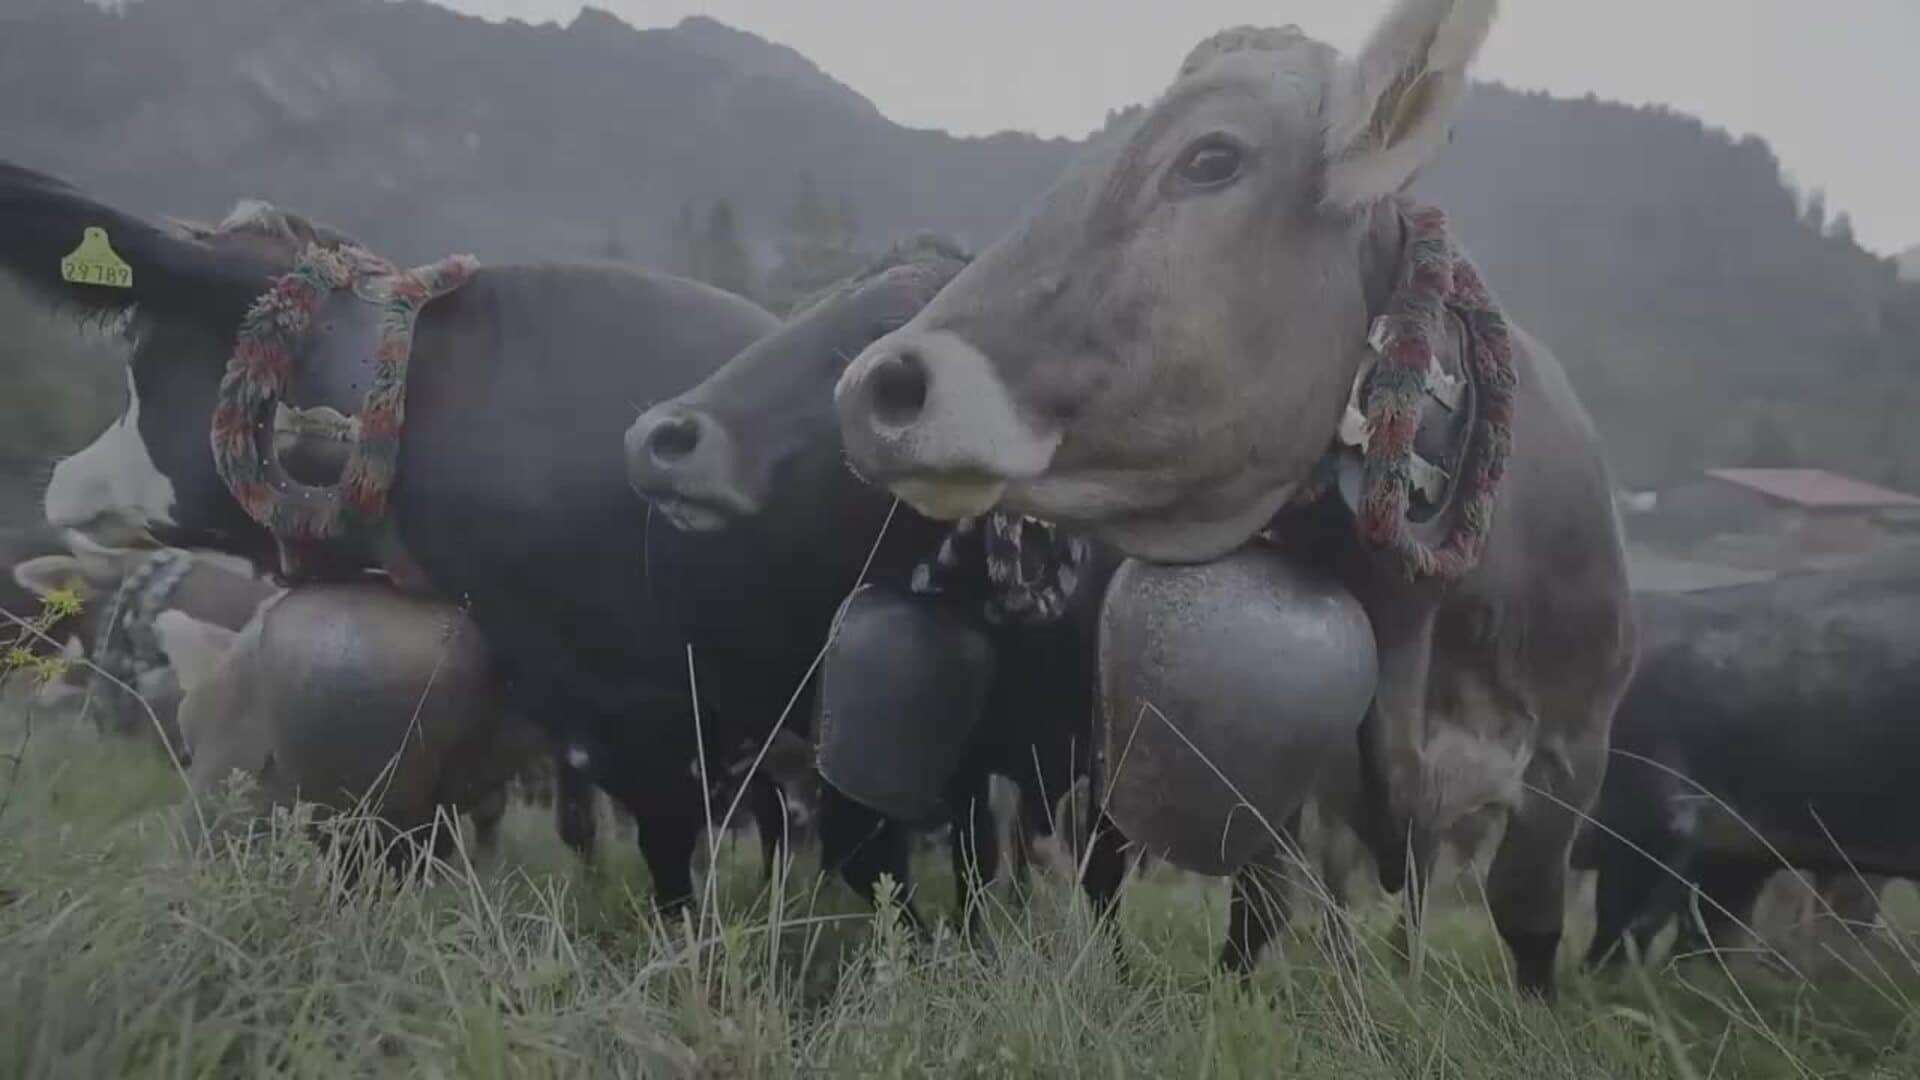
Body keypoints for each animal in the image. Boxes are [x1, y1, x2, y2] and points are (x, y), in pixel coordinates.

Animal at [829, 2, 1635, 991]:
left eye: (1212, 157)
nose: (879, 387)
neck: (1420, 615)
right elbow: (1259, 909)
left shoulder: (1574, 749)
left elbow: (1527, 917)